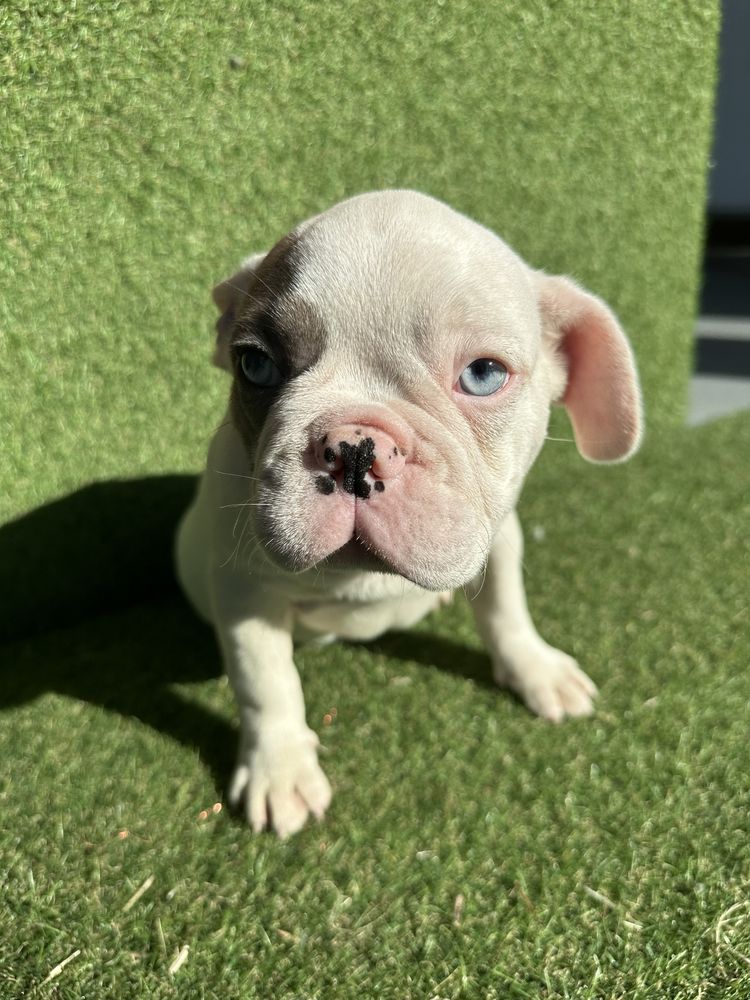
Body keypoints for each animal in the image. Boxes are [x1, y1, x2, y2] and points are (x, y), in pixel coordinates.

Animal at [173, 188, 644, 836]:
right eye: (255, 365)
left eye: (483, 374)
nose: (353, 446)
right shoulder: (244, 590)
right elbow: (265, 683)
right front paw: (280, 769)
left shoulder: (499, 539)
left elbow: (506, 609)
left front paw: (535, 668)